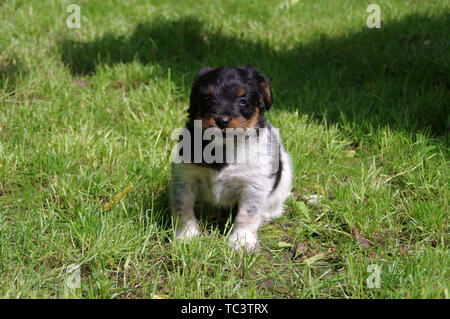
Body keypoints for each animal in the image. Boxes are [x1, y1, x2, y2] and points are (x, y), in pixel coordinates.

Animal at [171, 65, 294, 252]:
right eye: (207, 98)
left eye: (243, 100)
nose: (222, 120)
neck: (224, 147)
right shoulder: (185, 176)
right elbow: (183, 208)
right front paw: (187, 236)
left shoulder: (254, 185)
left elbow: (247, 214)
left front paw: (242, 241)